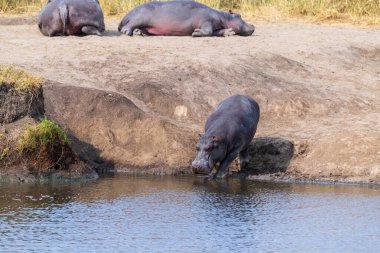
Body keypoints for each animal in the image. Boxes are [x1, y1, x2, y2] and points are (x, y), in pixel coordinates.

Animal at [119, 0, 255, 37]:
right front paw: (196, 33)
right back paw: (127, 32)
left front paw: (229, 32)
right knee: (129, 25)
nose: (253, 25)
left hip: (147, 25)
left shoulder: (217, 26)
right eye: (239, 15)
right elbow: (208, 31)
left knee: (142, 29)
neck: (223, 17)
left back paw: (139, 33)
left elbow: (217, 31)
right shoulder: (206, 20)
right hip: (140, 17)